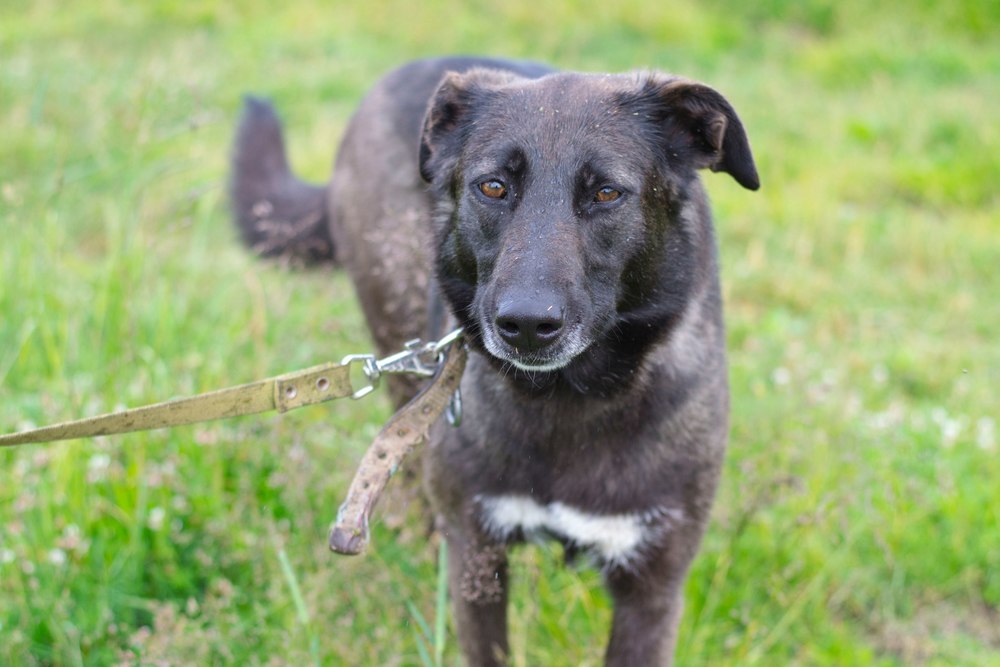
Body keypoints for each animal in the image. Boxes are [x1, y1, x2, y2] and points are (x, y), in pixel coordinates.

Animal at [229, 54, 756, 664]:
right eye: (494, 186)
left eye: (606, 193)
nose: (525, 324)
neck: (571, 397)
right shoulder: (477, 560)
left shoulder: (652, 586)